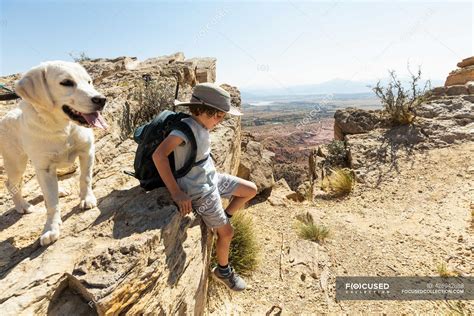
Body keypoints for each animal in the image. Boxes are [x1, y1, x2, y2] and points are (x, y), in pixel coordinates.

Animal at [0, 60, 107, 246]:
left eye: (89, 81)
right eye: (66, 82)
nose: (101, 100)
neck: (61, 128)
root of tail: (7, 115)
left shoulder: (87, 151)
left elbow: (85, 178)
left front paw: (87, 199)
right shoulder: (44, 168)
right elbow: (51, 203)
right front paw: (51, 228)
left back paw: (60, 190)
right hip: (16, 163)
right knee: (11, 184)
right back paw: (22, 206)